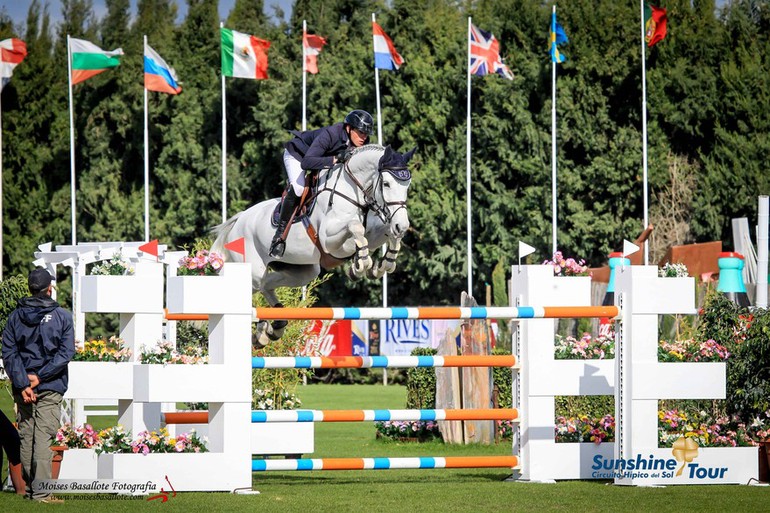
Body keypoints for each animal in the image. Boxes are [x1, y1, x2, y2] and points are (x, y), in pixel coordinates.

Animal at [210, 142, 414, 346]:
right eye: (386, 184)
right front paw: (361, 264)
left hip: (302, 272)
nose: (402, 225)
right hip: (253, 270)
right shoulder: (330, 241)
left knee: (266, 285)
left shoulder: (370, 235)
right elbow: (355, 227)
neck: (351, 189)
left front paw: (381, 266)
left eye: (407, 186)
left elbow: (383, 233)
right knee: (250, 288)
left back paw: (270, 330)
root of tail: (239, 220)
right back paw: (261, 327)